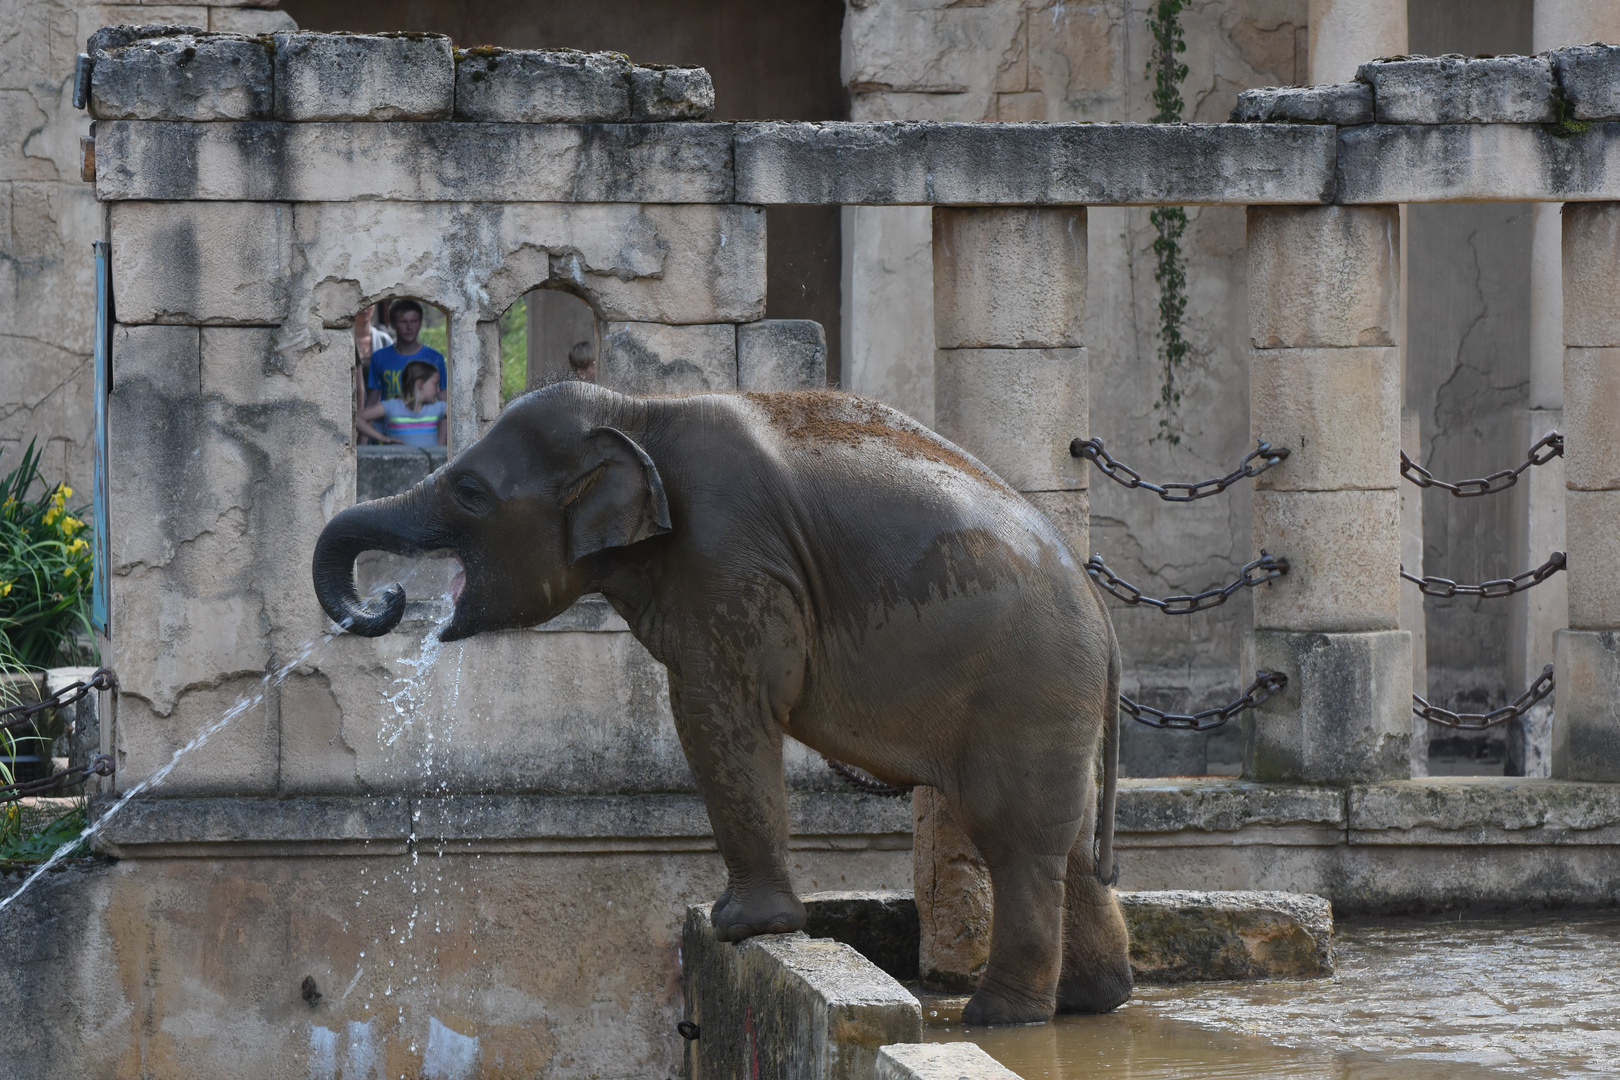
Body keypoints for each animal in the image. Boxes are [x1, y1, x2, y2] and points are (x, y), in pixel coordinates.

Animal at [309, 383, 1134, 1029]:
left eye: (471, 493)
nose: (389, 598)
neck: (637, 412)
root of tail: (1101, 608)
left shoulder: (727, 554)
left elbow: (719, 708)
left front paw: (739, 928)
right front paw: (741, 924)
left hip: (1025, 687)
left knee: (1011, 835)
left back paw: (998, 1019)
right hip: (1051, 699)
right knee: (1065, 839)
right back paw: (1093, 1002)